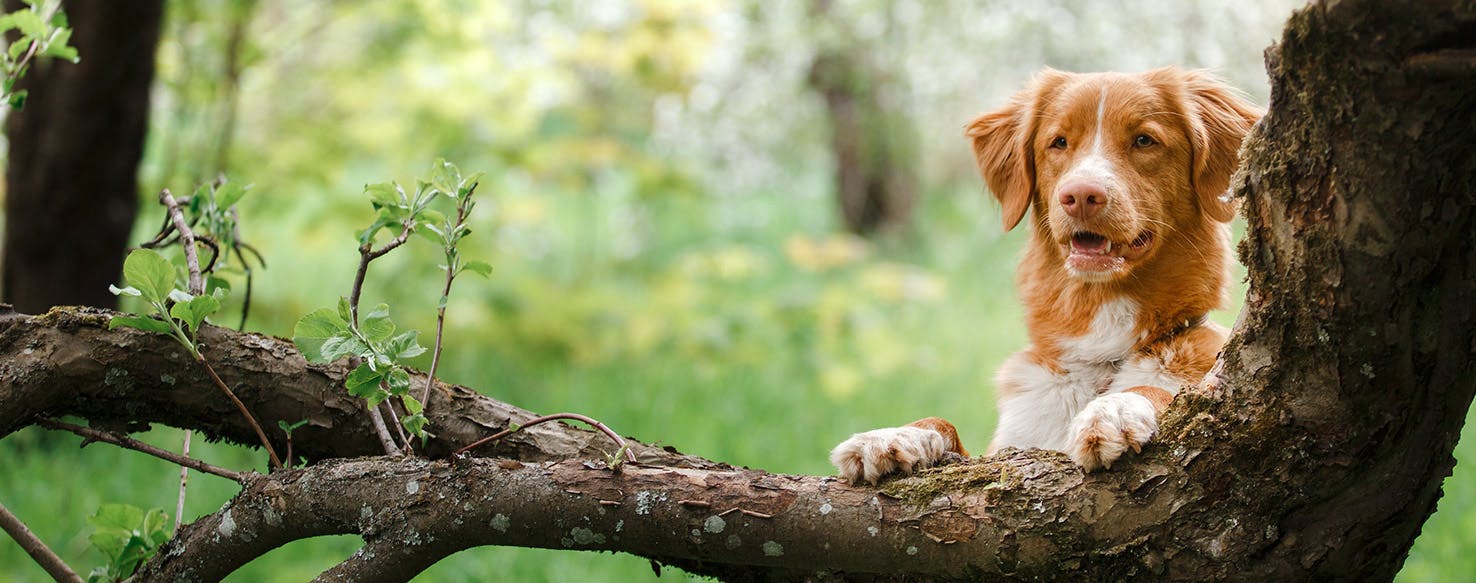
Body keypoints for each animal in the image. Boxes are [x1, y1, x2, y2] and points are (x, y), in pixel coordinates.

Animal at [832, 67, 1257, 484]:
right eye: (1059, 142)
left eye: (1144, 140)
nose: (1081, 195)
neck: (1102, 354)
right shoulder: (1006, 452)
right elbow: (944, 424)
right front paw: (894, 435)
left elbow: (1154, 389)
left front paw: (1113, 409)